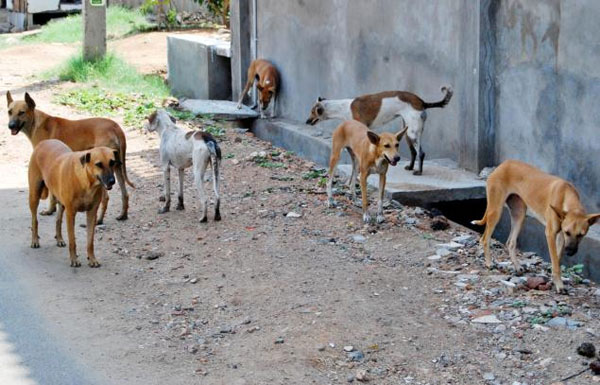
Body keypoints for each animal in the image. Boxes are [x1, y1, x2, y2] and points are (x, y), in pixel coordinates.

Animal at [7, 91, 134, 222]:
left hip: (104, 174)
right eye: (9, 112)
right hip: (117, 167)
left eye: (21, 112)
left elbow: (51, 195)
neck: (36, 123)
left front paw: (49, 210)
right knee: (125, 194)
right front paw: (52, 210)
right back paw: (123, 215)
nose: (10, 126)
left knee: (106, 198)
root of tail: (115, 126)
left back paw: (99, 220)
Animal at [28, 138, 120, 268]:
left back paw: (59, 239)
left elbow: (90, 241)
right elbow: (72, 240)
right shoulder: (71, 213)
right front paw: (74, 260)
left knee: (58, 220)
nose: (112, 181)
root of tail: (45, 141)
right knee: (34, 220)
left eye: (112, 162)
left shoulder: (92, 213)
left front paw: (92, 259)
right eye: (99, 164)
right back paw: (35, 240)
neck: (87, 182)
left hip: (61, 202)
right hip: (34, 195)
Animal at [308, 86, 452, 175]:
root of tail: (422, 102)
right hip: (407, 132)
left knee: (421, 153)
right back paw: (411, 167)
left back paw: (419, 171)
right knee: (414, 152)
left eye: (312, 112)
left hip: (413, 133)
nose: (306, 121)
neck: (343, 107)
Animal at [472, 159, 600, 294]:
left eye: (581, 235)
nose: (570, 252)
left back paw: (517, 267)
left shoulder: (560, 237)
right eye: (568, 232)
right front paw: (559, 285)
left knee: (510, 242)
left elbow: (557, 260)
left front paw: (554, 280)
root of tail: (504, 164)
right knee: (484, 239)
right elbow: (555, 261)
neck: (566, 195)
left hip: (520, 214)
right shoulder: (551, 234)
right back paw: (489, 263)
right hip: (496, 211)